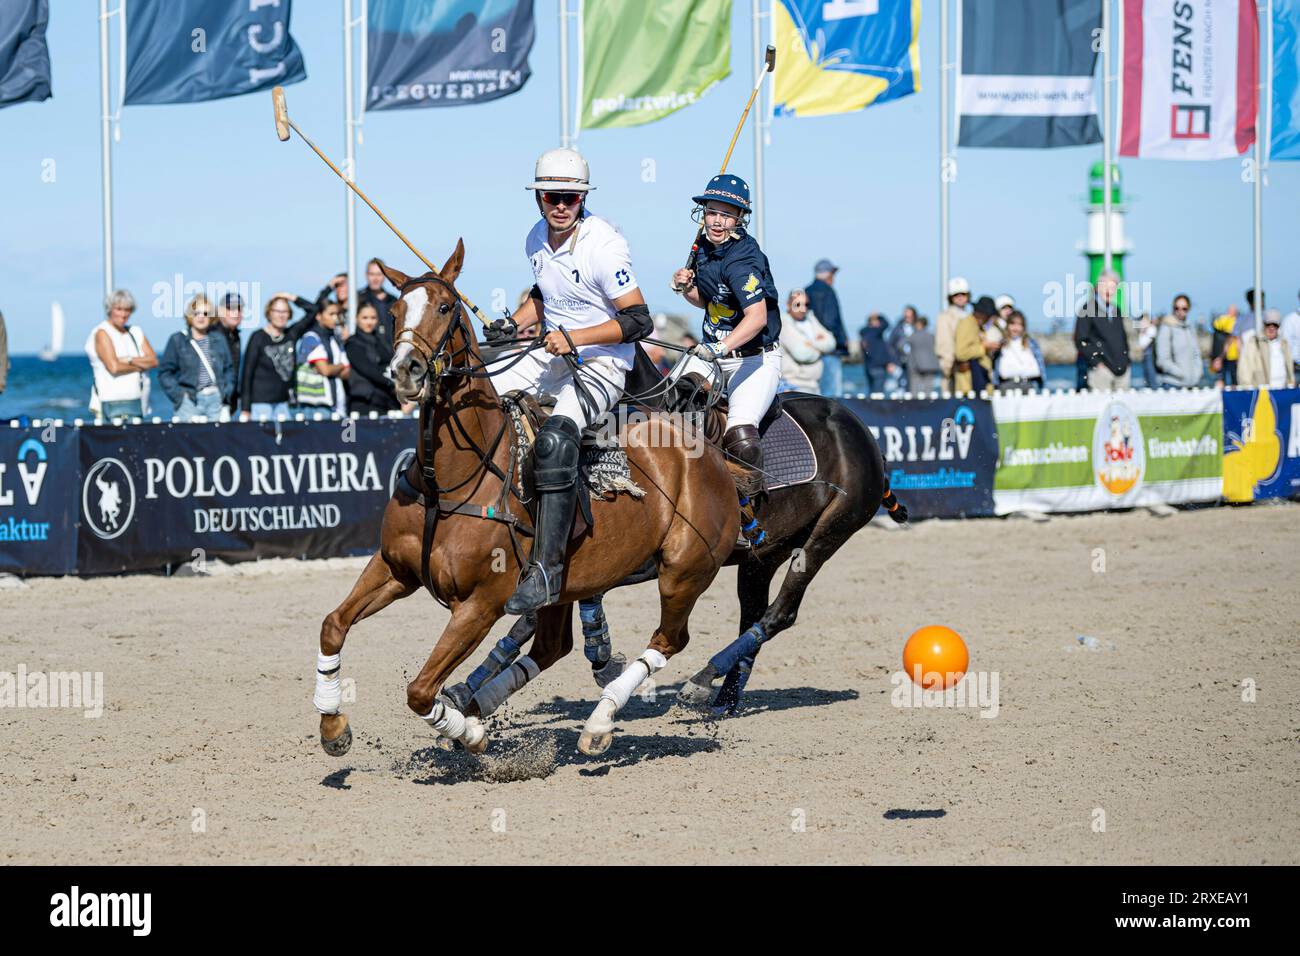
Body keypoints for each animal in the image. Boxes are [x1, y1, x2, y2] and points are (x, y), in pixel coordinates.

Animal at [313, 243, 738, 759]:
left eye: (445, 307)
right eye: (394, 312)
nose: (405, 371)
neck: (449, 481)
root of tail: (712, 452)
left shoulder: (480, 604)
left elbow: (419, 691)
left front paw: (469, 733)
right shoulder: (394, 568)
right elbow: (333, 625)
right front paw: (333, 726)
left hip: (685, 569)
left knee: (668, 639)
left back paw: (598, 722)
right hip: (567, 581)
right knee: (552, 646)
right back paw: (481, 702)